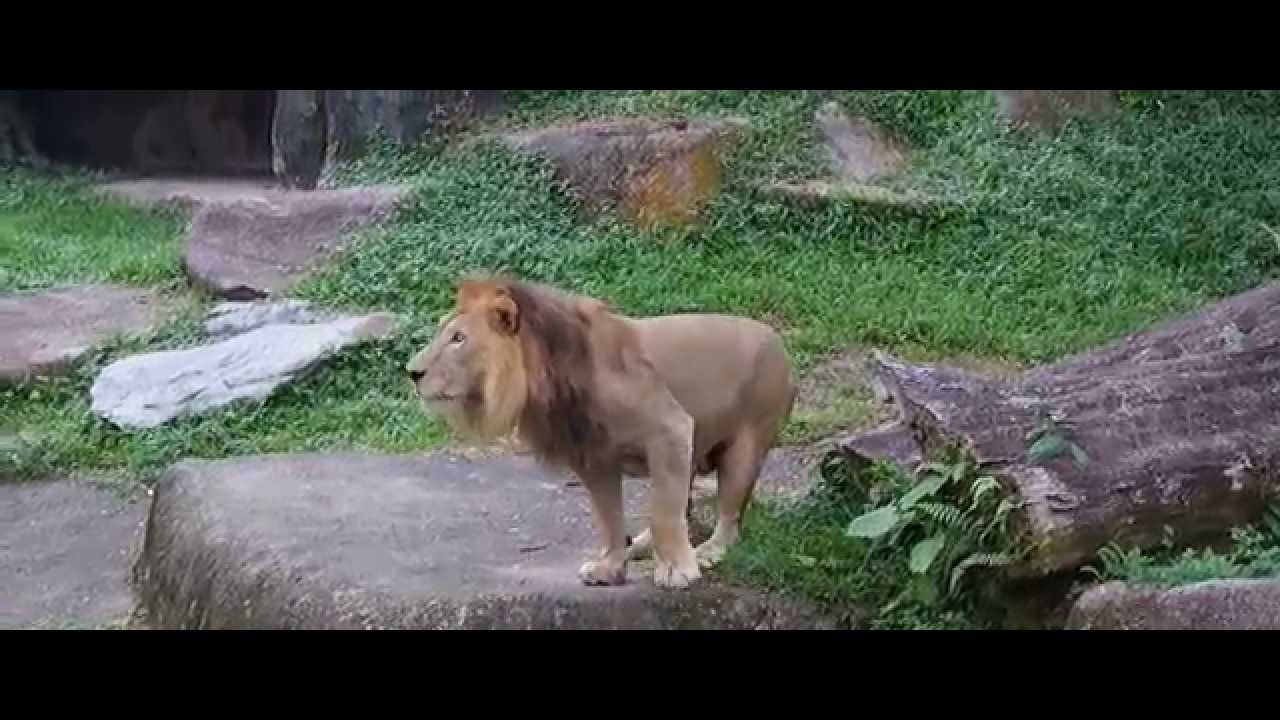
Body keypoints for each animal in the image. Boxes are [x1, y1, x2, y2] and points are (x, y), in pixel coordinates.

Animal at [404, 276, 796, 589]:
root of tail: (776, 338)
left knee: (729, 520)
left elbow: (662, 510)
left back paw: (707, 551)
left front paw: (677, 572)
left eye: (458, 338)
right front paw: (610, 568)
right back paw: (642, 545)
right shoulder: (592, 456)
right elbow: (608, 517)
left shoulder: (670, 429)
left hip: (744, 448)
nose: (412, 372)